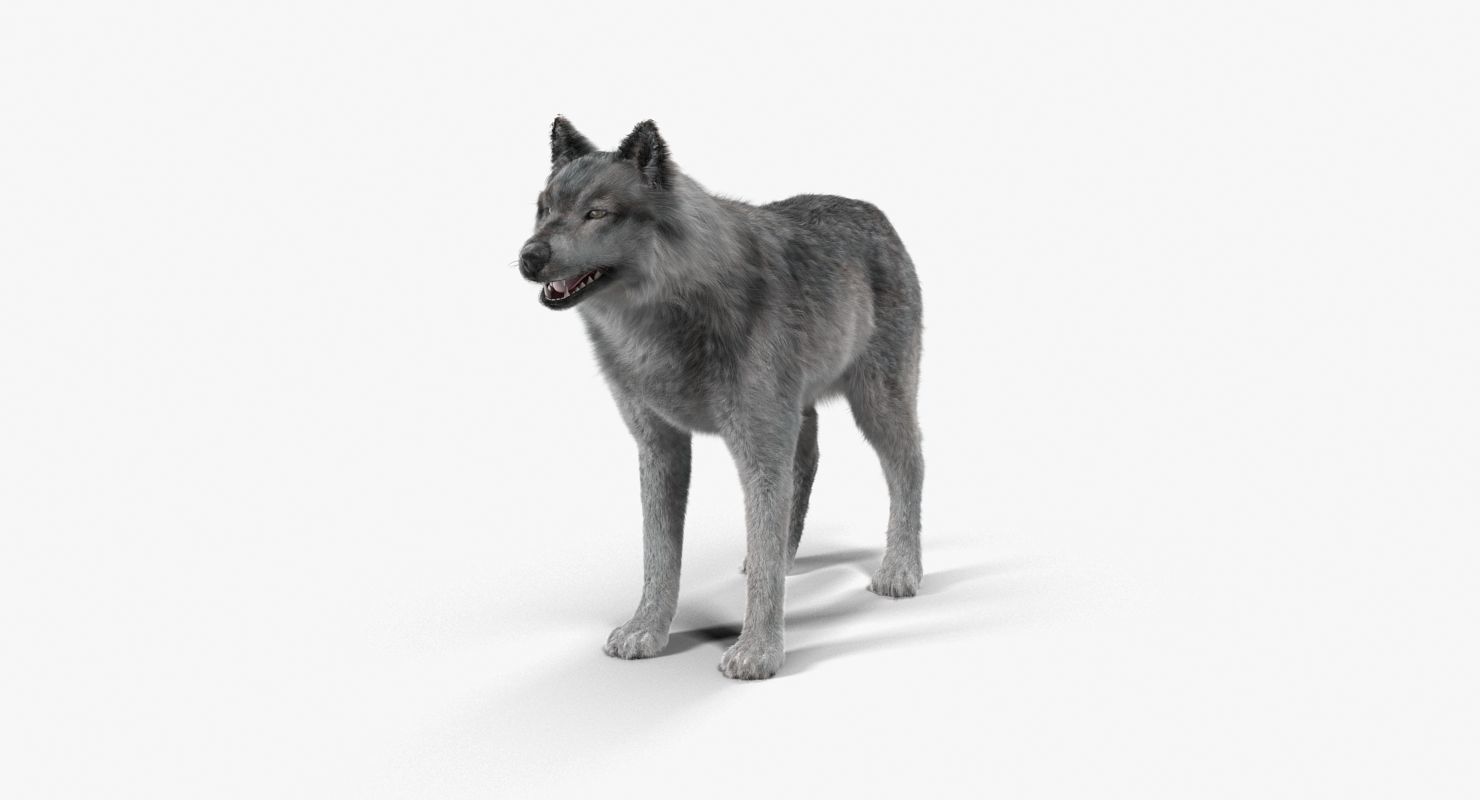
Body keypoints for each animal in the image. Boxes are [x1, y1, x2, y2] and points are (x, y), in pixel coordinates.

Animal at [518, 117, 924, 680]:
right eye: (543, 209)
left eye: (596, 213)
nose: (528, 257)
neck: (659, 323)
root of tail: (874, 212)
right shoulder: (660, 446)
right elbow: (659, 554)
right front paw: (646, 631)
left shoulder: (757, 447)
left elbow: (752, 545)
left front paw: (758, 652)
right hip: (800, 415)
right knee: (808, 464)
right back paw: (782, 557)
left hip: (876, 404)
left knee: (910, 467)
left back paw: (901, 570)